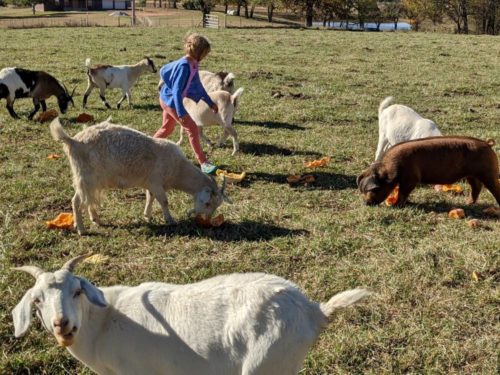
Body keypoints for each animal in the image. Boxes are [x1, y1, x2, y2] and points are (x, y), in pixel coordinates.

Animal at [12, 254, 372, 375]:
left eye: (77, 290)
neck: (102, 323)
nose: (62, 324)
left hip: (266, 364)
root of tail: (313, 310)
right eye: (38, 301)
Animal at [49, 117, 228, 235]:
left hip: (92, 180)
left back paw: (96, 219)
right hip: (86, 177)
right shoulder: (157, 182)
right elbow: (164, 201)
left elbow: (150, 198)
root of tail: (72, 141)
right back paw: (81, 229)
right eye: (207, 203)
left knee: (89, 200)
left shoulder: (150, 183)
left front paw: (147, 215)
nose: (206, 221)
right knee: (76, 201)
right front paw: (170, 220)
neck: (177, 169)